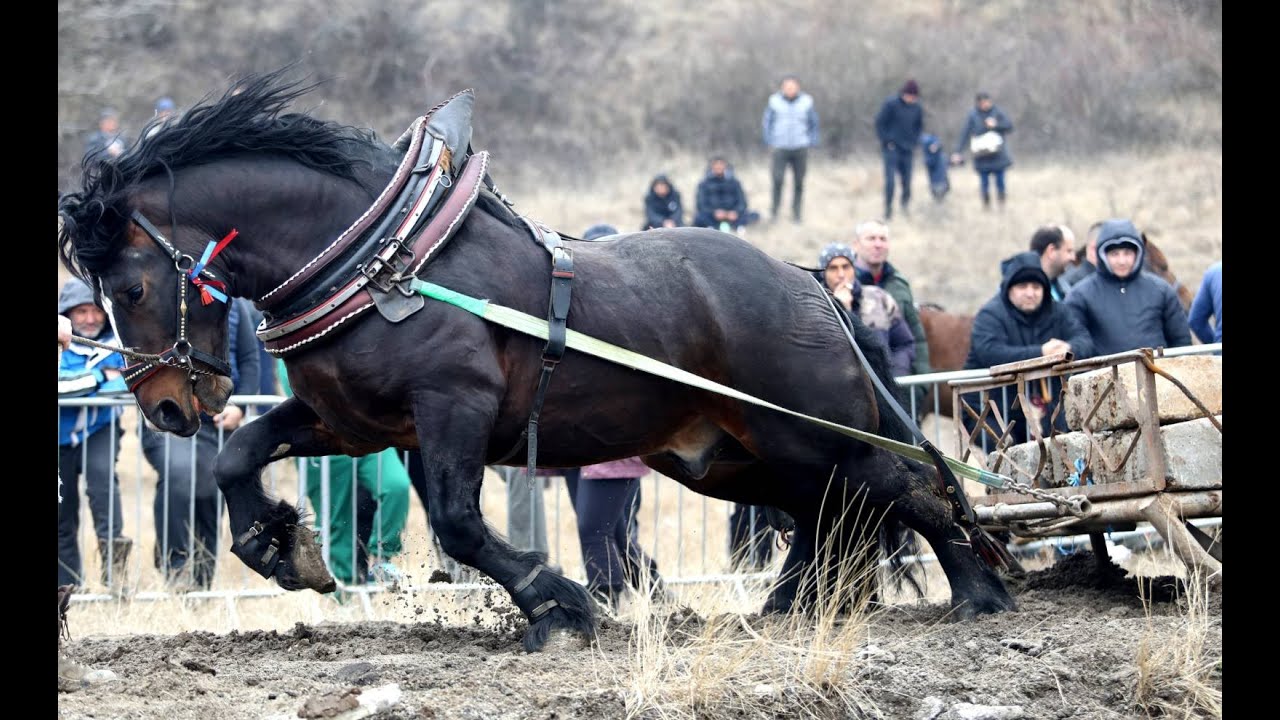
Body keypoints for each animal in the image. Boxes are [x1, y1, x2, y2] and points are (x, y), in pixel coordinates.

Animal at [57, 70, 1014, 651]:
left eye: (130, 288)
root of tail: (809, 281)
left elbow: (457, 523)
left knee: (901, 486)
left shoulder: (455, 408)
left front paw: (558, 603)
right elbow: (240, 457)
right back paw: (795, 606)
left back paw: (978, 593)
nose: (168, 406)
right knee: (829, 513)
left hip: (802, 428)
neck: (383, 261)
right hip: (722, 455)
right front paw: (279, 546)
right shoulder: (353, 423)